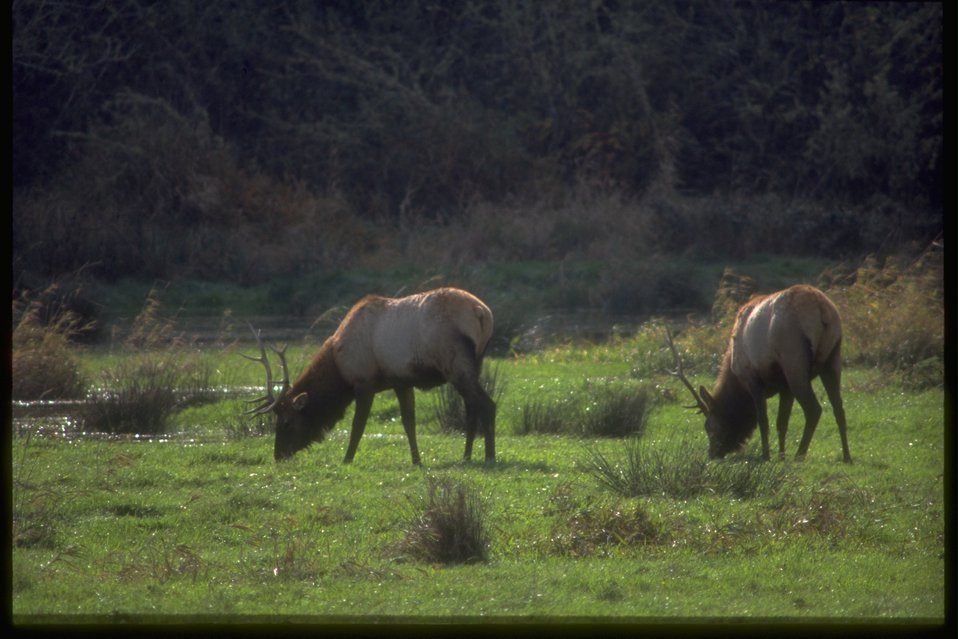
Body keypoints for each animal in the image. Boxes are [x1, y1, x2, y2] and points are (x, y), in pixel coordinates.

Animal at [243, 287, 496, 465]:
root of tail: (482, 313)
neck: (339, 369)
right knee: (471, 409)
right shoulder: (401, 381)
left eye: (286, 421)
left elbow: (358, 425)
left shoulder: (364, 383)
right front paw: (417, 460)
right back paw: (466, 456)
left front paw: (347, 459)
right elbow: (409, 422)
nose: (278, 455)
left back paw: (490, 456)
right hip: (476, 362)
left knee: (487, 404)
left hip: (455, 363)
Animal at [666, 284, 851, 463]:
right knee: (839, 409)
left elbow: (763, 420)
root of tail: (822, 309)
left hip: (794, 359)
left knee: (814, 409)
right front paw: (781, 456)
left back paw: (799, 455)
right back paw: (846, 456)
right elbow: (782, 422)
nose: (712, 454)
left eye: (708, 426)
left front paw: (766, 456)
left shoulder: (753, 379)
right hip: (833, 359)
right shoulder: (784, 387)